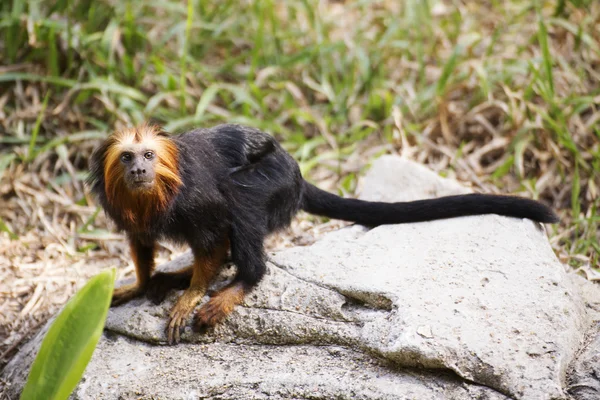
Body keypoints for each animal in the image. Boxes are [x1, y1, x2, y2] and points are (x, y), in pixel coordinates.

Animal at [88, 122, 556, 344]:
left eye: (149, 155)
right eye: (127, 157)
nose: (139, 169)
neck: (154, 195)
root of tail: (295, 171)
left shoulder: (196, 203)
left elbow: (216, 231)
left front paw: (192, 296)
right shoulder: (129, 212)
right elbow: (140, 241)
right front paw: (141, 284)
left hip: (273, 179)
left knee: (242, 200)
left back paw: (237, 284)